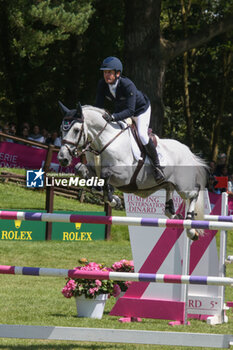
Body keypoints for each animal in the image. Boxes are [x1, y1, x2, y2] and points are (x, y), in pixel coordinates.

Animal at [57, 101, 208, 241]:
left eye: (76, 130)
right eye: (62, 129)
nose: (63, 158)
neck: (104, 141)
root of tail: (188, 151)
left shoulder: (124, 176)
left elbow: (105, 176)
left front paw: (113, 200)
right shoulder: (93, 168)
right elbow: (81, 170)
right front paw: (109, 195)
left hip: (183, 186)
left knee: (195, 192)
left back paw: (191, 229)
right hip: (168, 183)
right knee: (169, 206)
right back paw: (177, 217)